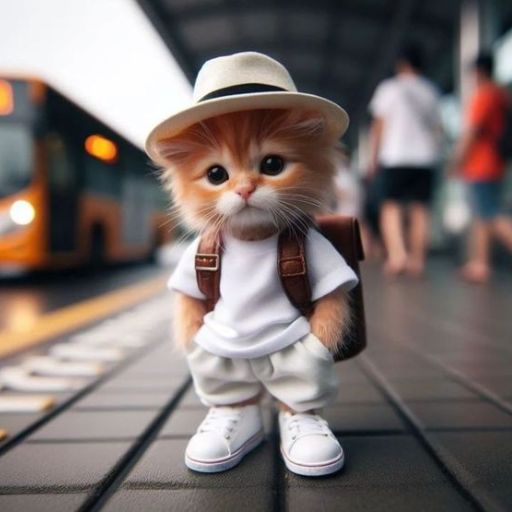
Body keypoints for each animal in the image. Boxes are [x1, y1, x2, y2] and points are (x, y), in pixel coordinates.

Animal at [158, 109, 350, 352]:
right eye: (215, 174)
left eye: (272, 164)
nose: (244, 189)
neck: (251, 238)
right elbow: (189, 302)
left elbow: (332, 301)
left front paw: (322, 341)